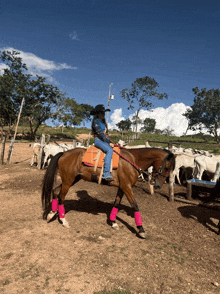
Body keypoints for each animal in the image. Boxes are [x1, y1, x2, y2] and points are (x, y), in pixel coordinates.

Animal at [41, 147, 175, 239]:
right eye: (166, 168)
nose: (158, 185)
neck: (132, 161)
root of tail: (64, 153)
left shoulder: (122, 187)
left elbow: (116, 203)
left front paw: (113, 222)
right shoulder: (127, 187)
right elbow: (135, 205)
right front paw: (141, 230)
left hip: (72, 180)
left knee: (55, 191)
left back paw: (51, 214)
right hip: (68, 181)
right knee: (61, 197)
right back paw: (63, 220)